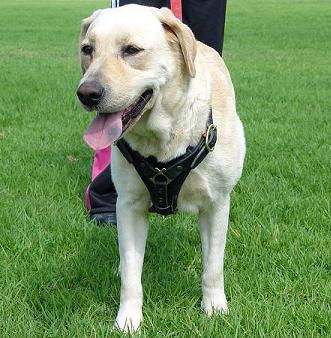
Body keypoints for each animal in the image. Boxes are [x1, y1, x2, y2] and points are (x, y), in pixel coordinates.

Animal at [77, 3, 244, 332]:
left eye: (131, 50)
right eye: (87, 49)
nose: (86, 93)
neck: (164, 143)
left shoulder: (217, 204)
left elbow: (213, 266)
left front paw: (214, 308)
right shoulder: (128, 207)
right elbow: (131, 274)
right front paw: (128, 321)